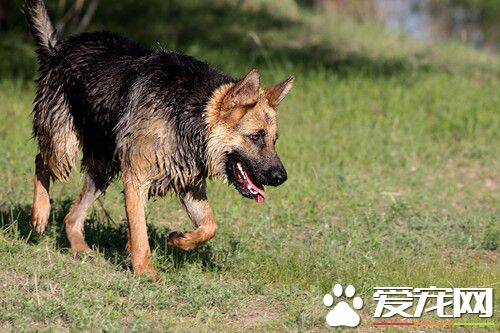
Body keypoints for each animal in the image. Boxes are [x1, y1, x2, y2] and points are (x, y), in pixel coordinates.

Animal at [26, 0, 292, 278]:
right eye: (256, 136)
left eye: (274, 140)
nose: (281, 177)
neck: (192, 115)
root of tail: (59, 47)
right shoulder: (136, 180)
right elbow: (140, 234)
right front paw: (145, 273)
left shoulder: (190, 184)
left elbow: (210, 226)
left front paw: (179, 240)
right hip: (63, 147)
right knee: (39, 160)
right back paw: (40, 215)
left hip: (102, 170)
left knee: (71, 217)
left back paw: (81, 248)